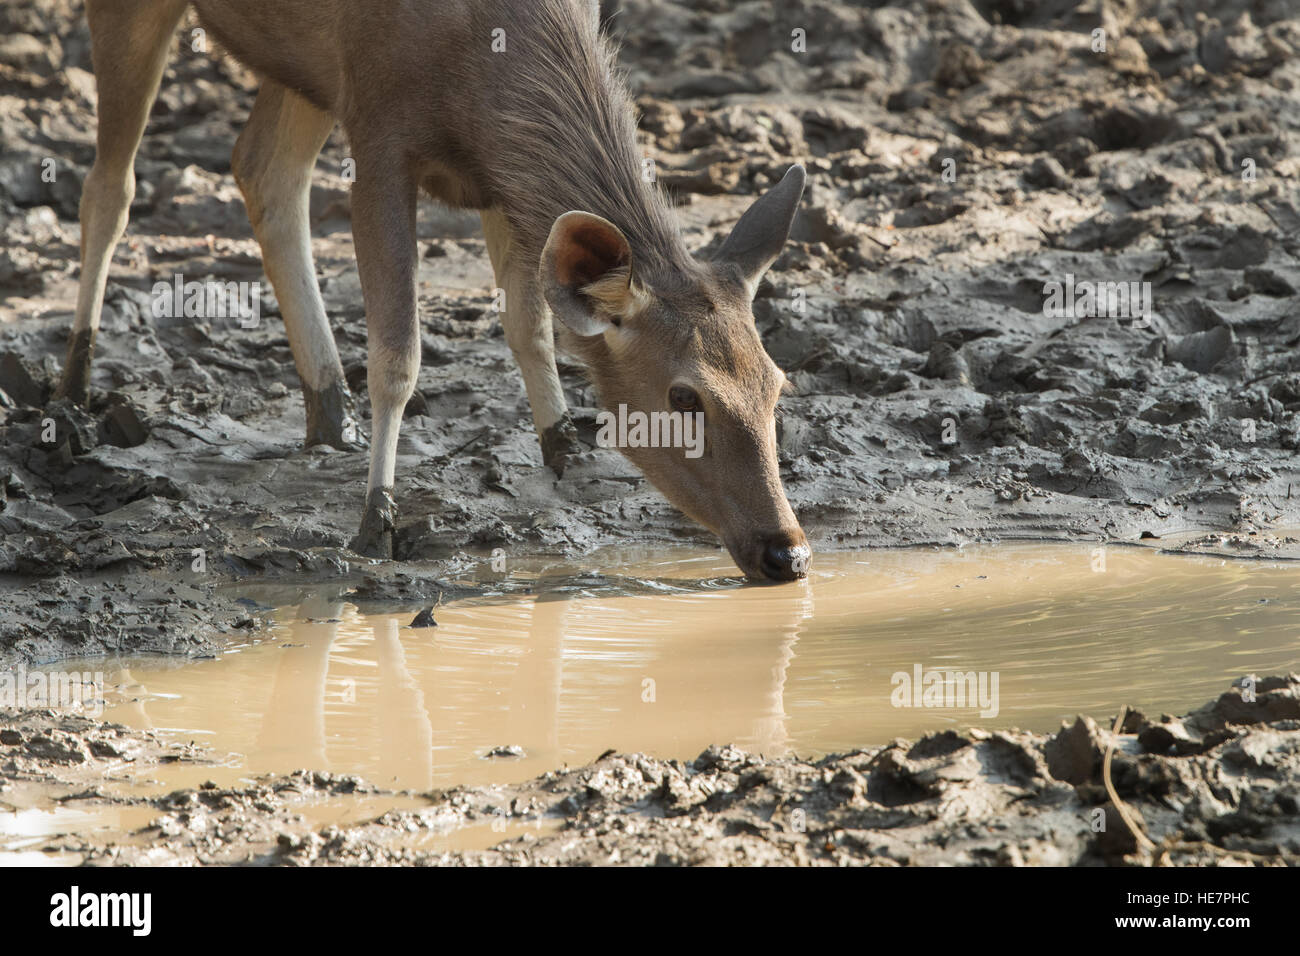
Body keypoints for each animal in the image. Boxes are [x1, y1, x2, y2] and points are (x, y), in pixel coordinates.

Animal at [61, 0, 816, 582]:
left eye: (777, 383)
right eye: (684, 396)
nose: (788, 553)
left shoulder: (497, 178)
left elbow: (528, 322)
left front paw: (563, 452)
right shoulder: (377, 127)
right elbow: (399, 353)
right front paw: (376, 522)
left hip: (300, 67)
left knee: (261, 169)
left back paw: (328, 414)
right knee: (111, 186)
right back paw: (71, 390)